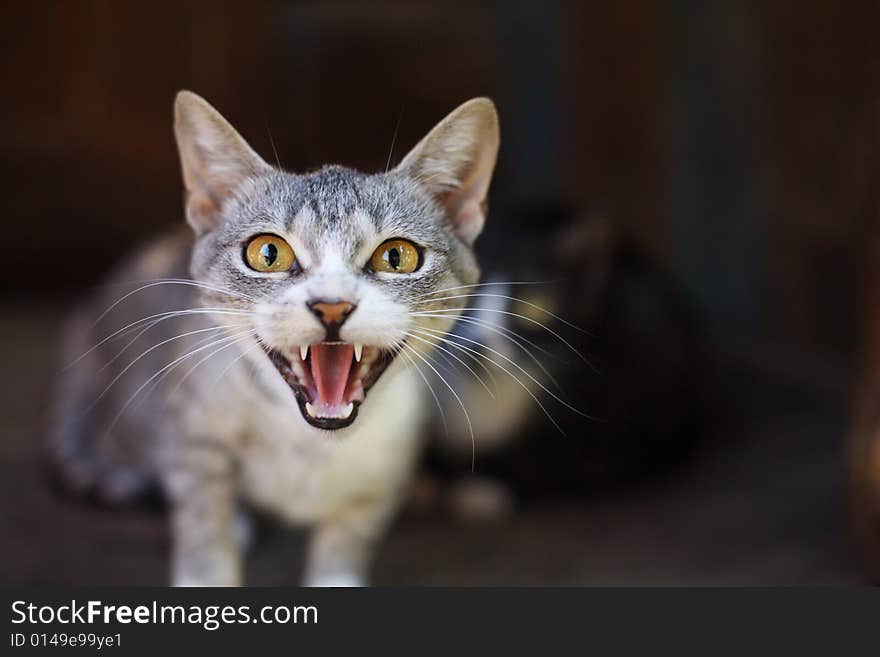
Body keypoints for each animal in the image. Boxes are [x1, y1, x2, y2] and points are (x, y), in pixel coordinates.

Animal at [51, 91, 498, 584]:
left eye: (396, 256)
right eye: (268, 253)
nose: (332, 304)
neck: (309, 442)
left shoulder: (380, 479)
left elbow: (345, 548)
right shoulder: (193, 433)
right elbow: (203, 526)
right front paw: (209, 562)